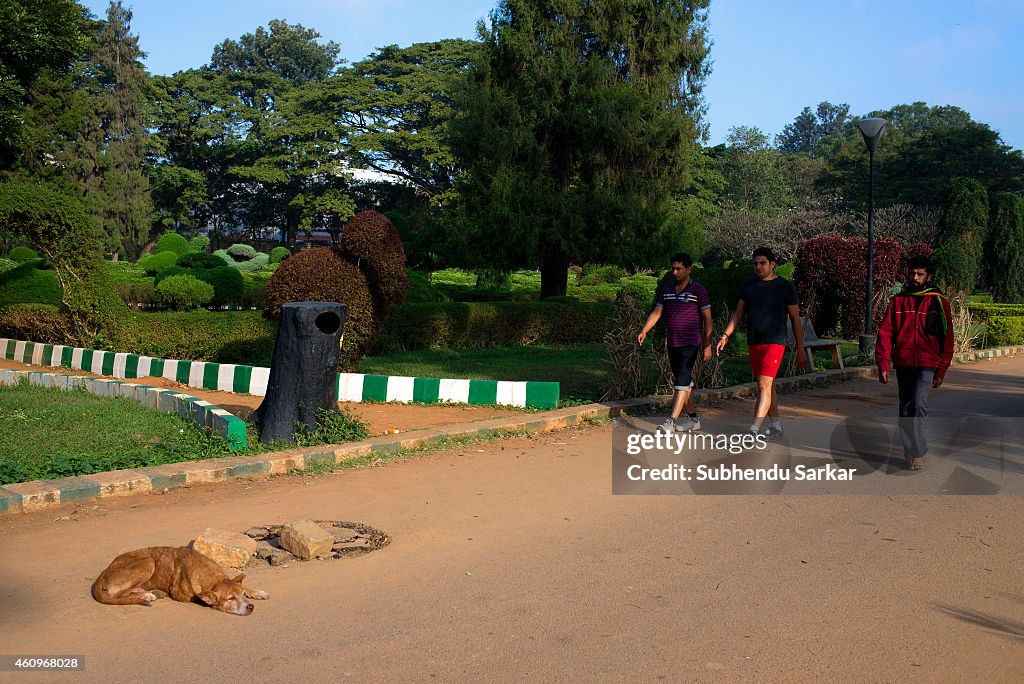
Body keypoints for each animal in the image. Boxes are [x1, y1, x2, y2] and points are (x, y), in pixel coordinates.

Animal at [92, 544, 270, 614]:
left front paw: (257, 592)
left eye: (242, 596)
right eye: (230, 599)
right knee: (118, 595)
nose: (251, 607)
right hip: (148, 561)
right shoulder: (182, 595)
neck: (212, 576)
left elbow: (246, 586)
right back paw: (147, 595)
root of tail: (104, 571)